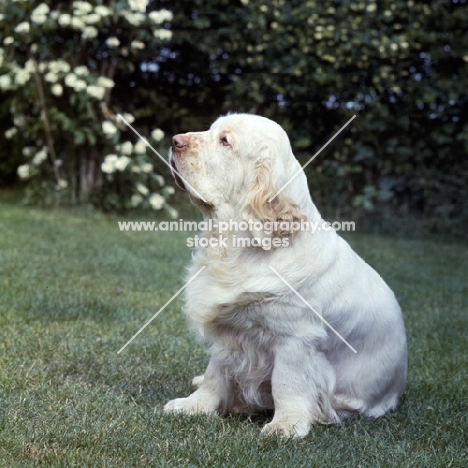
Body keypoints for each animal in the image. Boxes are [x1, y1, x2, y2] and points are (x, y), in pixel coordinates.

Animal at [164, 113, 406, 438]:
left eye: (225, 141)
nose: (174, 140)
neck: (238, 249)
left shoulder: (295, 339)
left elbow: (286, 383)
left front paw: (285, 425)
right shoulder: (231, 332)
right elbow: (217, 372)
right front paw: (194, 405)